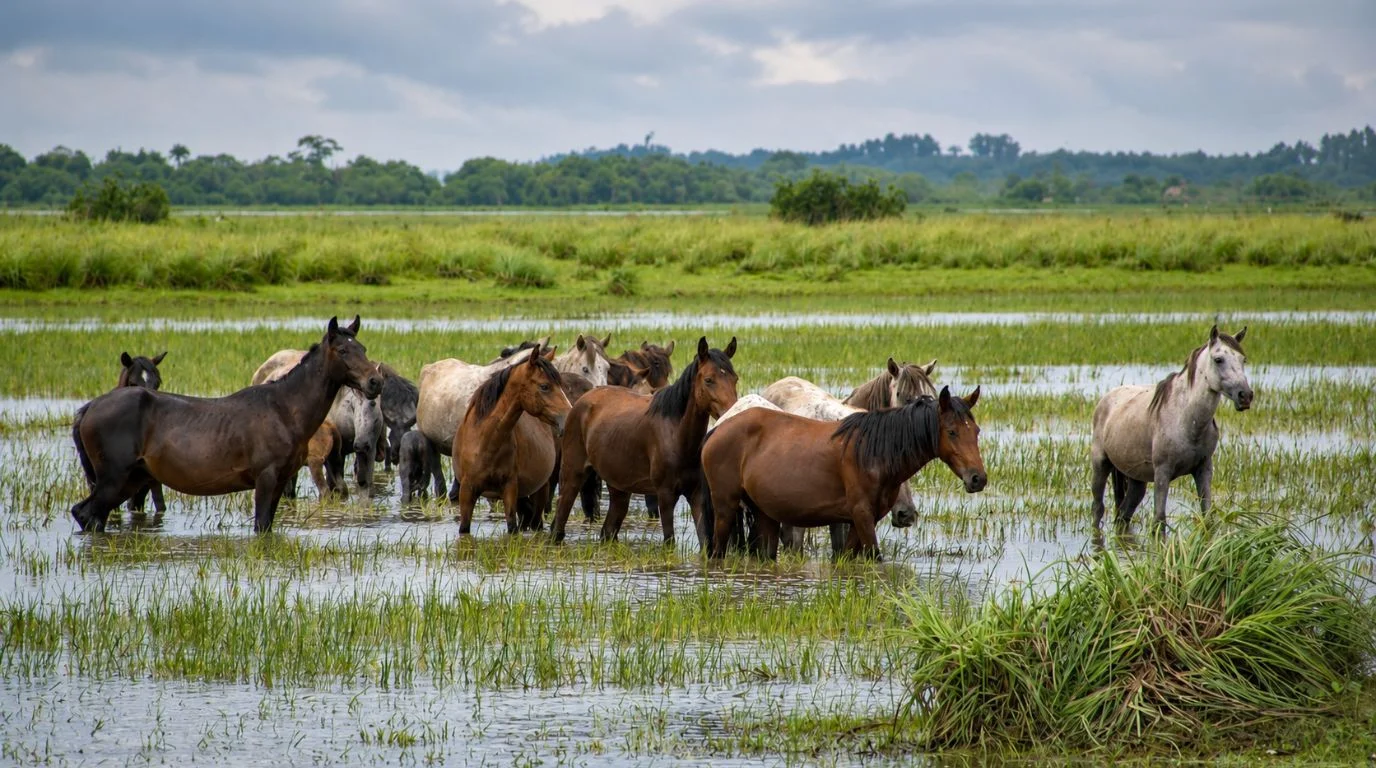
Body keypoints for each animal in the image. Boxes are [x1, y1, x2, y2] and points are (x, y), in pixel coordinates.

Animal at [454, 350, 572, 534]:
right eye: (544, 386)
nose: (569, 417)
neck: (485, 442)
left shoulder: (509, 488)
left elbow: (511, 526)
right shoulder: (466, 491)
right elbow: (464, 528)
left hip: (541, 489)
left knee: (536, 522)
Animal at [551, 337, 738, 547]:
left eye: (735, 379)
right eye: (708, 380)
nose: (732, 411)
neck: (676, 433)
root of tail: (581, 401)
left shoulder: (695, 494)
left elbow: (705, 540)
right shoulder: (665, 495)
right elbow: (669, 540)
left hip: (619, 488)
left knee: (608, 531)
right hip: (572, 475)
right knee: (560, 520)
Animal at [703, 386, 986, 560]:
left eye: (976, 431)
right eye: (952, 431)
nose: (978, 478)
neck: (874, 452)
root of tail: (718, 428)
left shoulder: (861, 520)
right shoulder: (861, 515)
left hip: (765, 513)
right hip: (725, 507)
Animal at [1091, 326, 1254, 530]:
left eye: (1243, 359)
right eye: (1218, 359)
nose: (1245, 396)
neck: (1187, 420)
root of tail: (1107, 398)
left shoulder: (1204, 469)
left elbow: (1207, 517)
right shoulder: (1163, 473)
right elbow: (1159, 520)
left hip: (1136, 479)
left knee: (1124, 514)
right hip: (1101, 464)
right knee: (1098, 507)